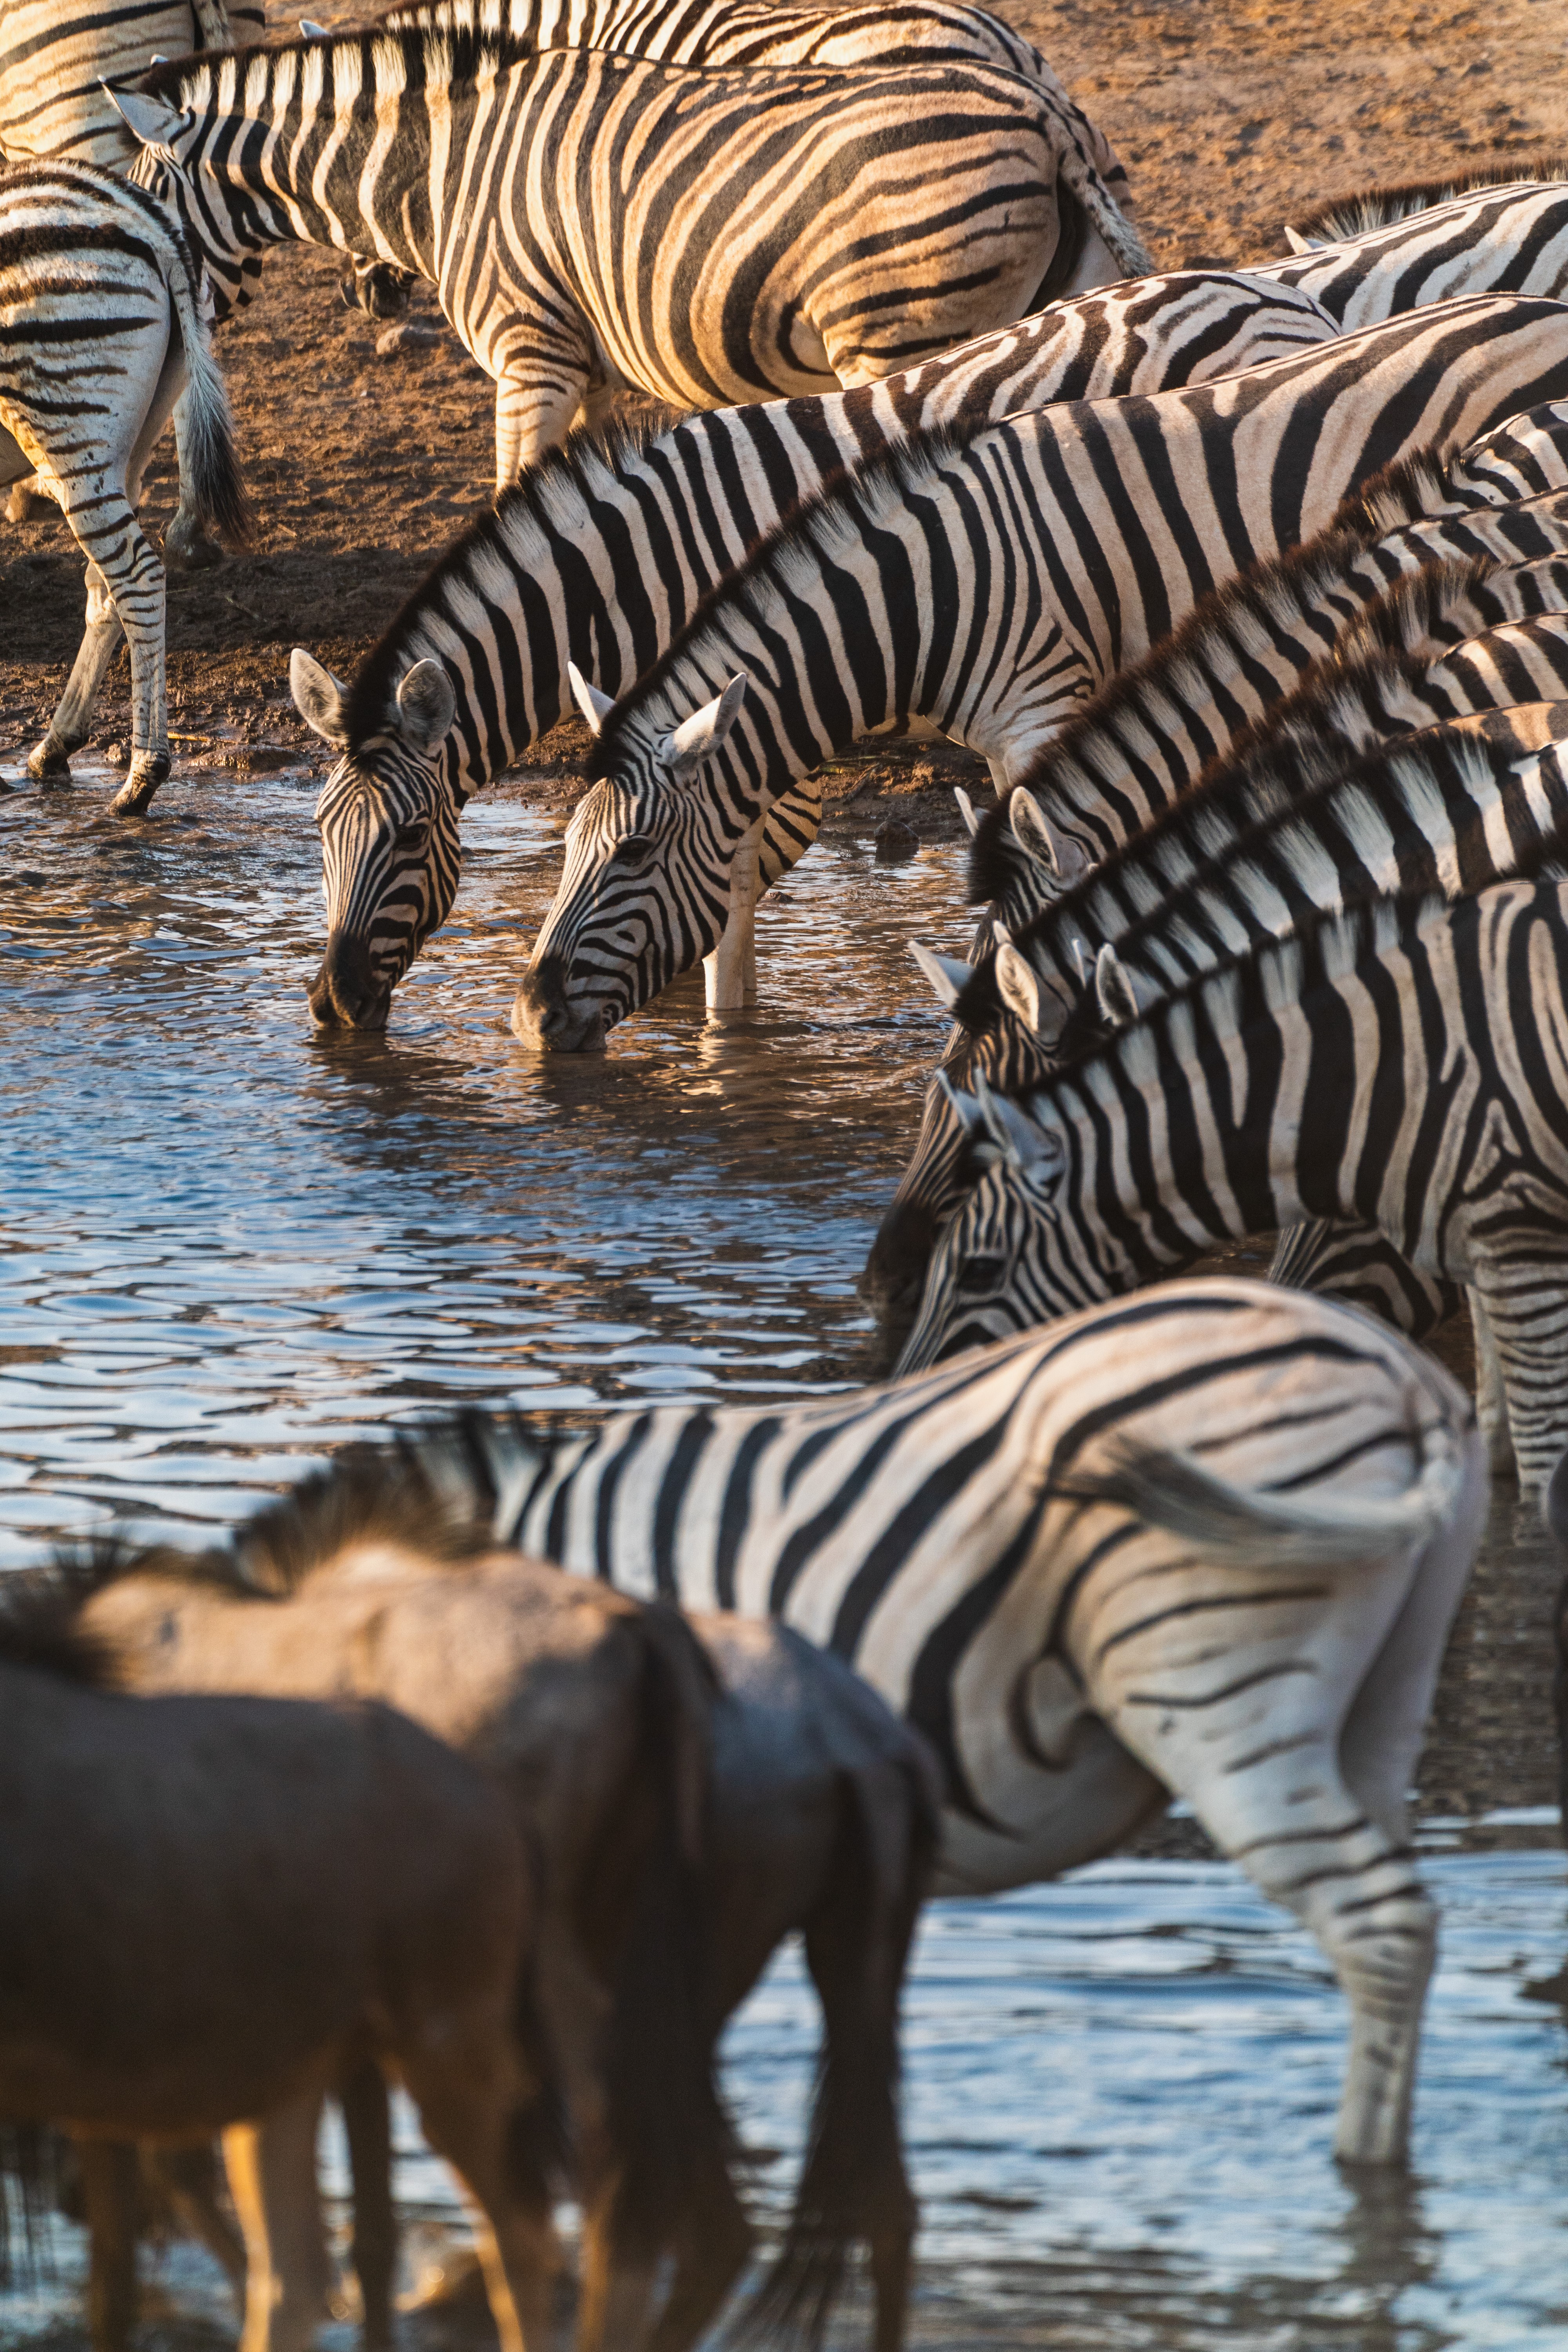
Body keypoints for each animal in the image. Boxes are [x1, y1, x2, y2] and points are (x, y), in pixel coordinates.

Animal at [0, 161, 252, 810]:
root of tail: (153, 224)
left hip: (68, 428)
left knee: (135, 577)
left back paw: (142, 775)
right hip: (128, 442)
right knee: (107, 586)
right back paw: (55, 747)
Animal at [114, 22, 1151, 478]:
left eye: (145, 202)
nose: (364, 296)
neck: (444, 168)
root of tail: (1043, 111)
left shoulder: (529, 355)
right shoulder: (586, 365)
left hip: (897, 331)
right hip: (1047, 314)